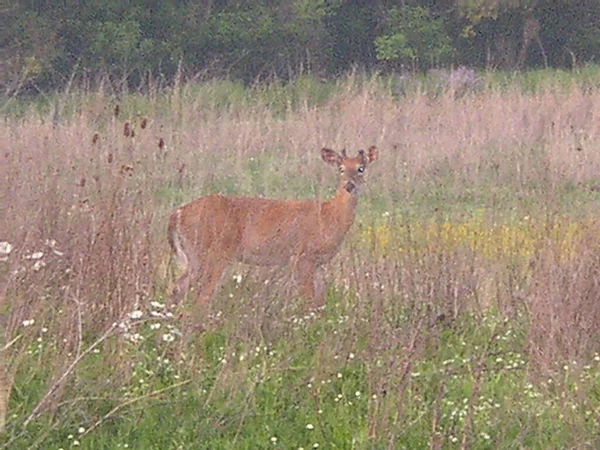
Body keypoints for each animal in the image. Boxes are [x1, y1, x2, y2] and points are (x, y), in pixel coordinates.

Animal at [166, 146, 378, 328]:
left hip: (194, 257)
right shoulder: (303, 256)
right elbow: (308, 300)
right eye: (341, 169)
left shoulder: (318, 263)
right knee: (201, 296)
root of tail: (177, 214)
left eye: (361, 168)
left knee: (177, 287)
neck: (328, 216)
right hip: (214, 253)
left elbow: (319, 301)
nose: (349, 185)